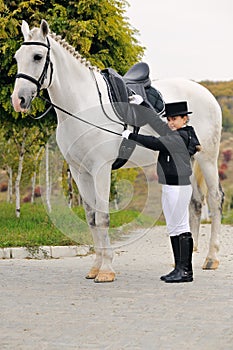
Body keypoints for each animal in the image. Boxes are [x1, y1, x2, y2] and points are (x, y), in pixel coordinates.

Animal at [11, 19, 224, 282]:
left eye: (38, 56)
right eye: (17, 57)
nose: (18, 100)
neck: (83, 105)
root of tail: (206, 93)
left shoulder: (101, 169)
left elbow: (103, 217)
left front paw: (106, 270)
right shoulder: (80, 172)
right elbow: (91, 218)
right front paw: (95, 267)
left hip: (207, 159)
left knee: (214, 199)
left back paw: (211, 258)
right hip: (189, 161)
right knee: (194, 203)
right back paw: (188, 260)